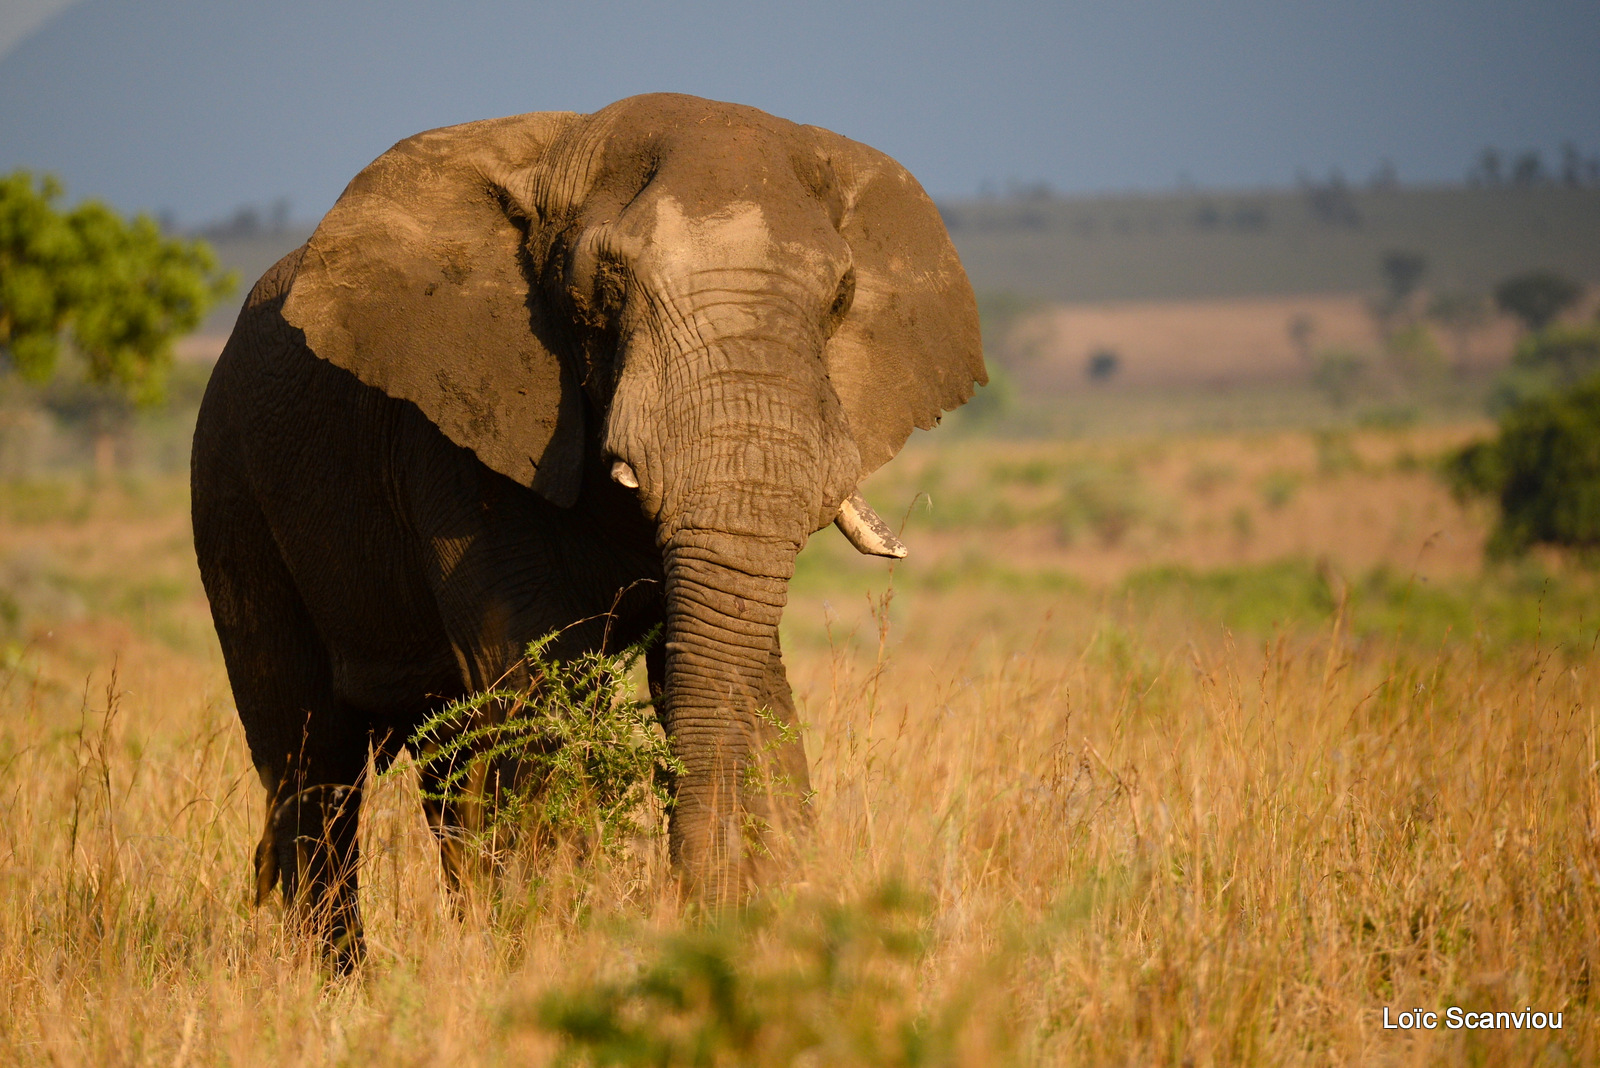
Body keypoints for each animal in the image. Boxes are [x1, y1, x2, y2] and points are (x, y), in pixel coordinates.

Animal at [192, 89, 979, 959]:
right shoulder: (457, 429)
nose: (694, 906)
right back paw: (339, 980)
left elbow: (744, 670)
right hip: (230, 488)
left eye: (841, 297)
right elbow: (537, 682)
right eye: (603, 283)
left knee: (439, 761)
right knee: (311, 764)